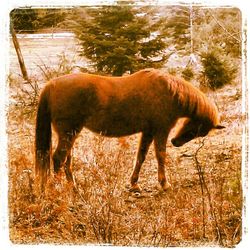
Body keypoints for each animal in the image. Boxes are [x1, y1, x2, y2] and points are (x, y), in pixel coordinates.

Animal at [35, 68, 225, 191]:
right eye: (199, 129)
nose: (175, 142)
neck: (170, 92)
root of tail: (51, 85)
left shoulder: (148, 132)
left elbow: (141, 156)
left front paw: (134, 184)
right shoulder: (161, 131)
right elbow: (160, 155)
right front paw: (164, 184)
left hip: (71, 134)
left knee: (66, 159)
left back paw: (72, 187)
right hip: (68, 133)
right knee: (58, 158)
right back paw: (59, 189)